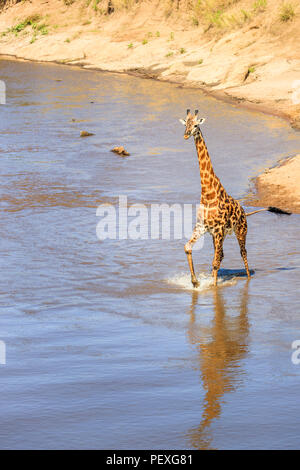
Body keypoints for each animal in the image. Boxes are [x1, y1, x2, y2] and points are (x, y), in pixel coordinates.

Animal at [179, 110, 290, 286]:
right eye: (186, 124)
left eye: (196, 125)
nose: (186, 134)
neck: (208, 193)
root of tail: (244, 212)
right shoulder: (203, 227)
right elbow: (188, 248)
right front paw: (195, 282)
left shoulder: (217, 230)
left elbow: (215, 263)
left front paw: (214, 288)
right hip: (220, 235)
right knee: (222, 255)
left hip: (241, 230)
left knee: (242, 252)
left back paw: (248, 278)